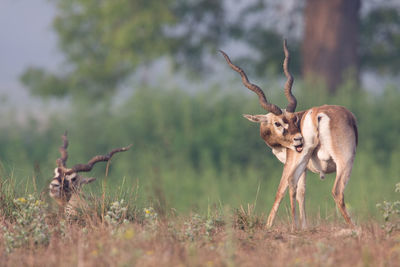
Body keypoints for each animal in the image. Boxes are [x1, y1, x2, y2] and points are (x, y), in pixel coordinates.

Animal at [220, 40, 358, 229]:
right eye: (278, 122)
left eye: (294, 119)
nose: (298, 139)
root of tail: (317, 115)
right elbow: (298, 191)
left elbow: (289, 191)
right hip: (329, 159)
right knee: (320, 188)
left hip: (333, 158)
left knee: (300, 185)